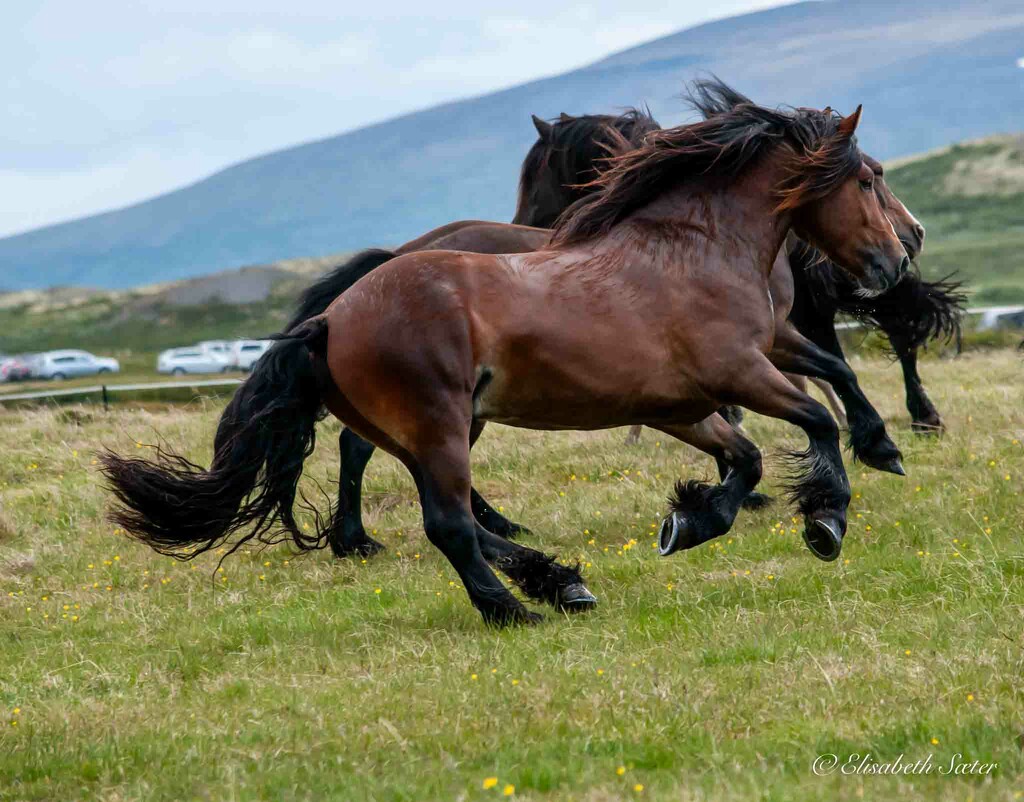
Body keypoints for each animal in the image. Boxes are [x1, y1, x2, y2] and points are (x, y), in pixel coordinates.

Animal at [99, 88, 909, 626]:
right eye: (868, 177)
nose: (897, 259)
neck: (691, 250)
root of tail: (330, 318)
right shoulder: (740, 372)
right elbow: (815, 421)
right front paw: (827, 520)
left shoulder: (680, 404)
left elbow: (751, 455)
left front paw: (690, 521)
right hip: (440, 424)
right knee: (448, 525)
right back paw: (514, 608)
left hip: (429, 434)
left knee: (453, 514)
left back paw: (559, 581)